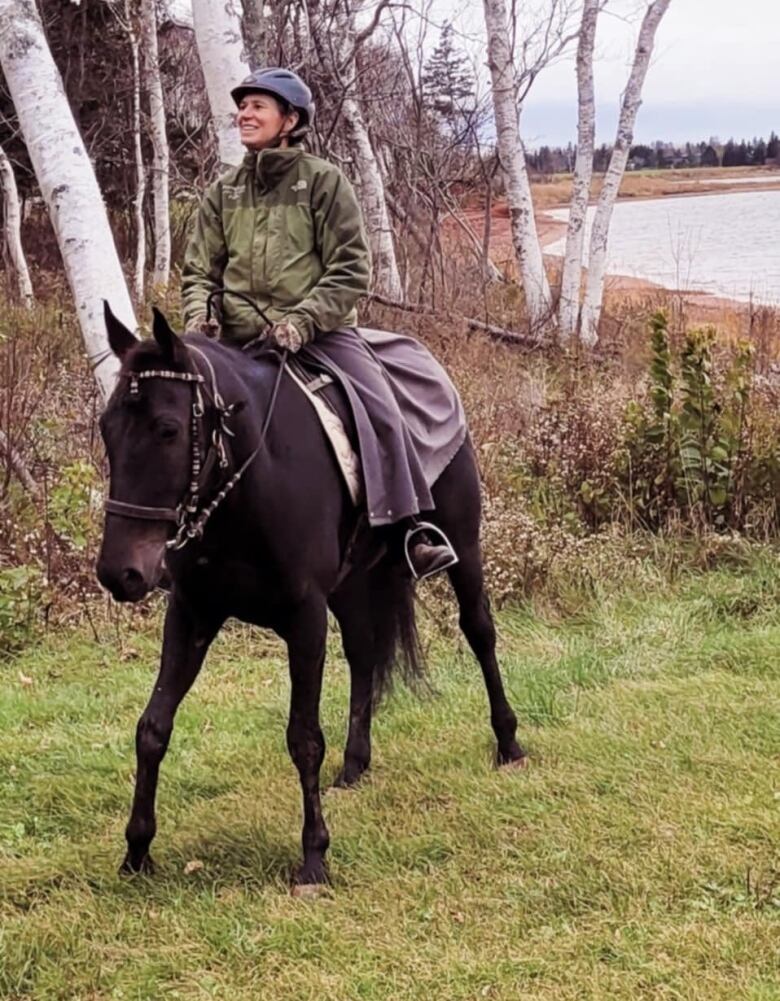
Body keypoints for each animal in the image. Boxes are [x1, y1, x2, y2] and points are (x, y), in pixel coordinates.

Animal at [96, 304, 524, 892]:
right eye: (106, 429)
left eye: (167, 429)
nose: (121, 574)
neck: (250, 485)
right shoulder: (192, 614)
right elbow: (152, 727)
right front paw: (137, 851)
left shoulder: (304, 618)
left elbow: (303, 737)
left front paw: (314, 857)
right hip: (350, 586)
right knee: (365, 654)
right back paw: (355, 764)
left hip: (464, 546)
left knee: (479, 631)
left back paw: (509, 744)